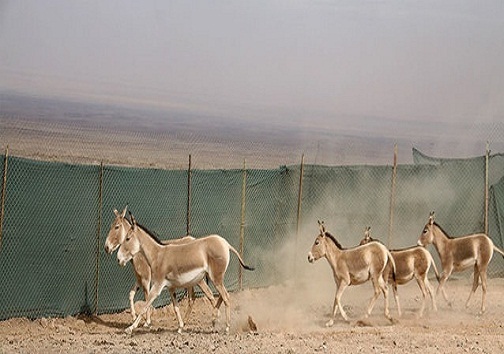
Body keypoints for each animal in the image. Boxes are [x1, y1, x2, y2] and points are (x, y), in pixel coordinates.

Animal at [116, 214, 254, 334]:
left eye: (127, 238)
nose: (118, 259)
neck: (158, 255)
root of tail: (225, 243)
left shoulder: (157, 286)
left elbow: (146, 305)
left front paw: (130, 328)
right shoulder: (171, 287)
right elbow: (176, 308)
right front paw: (180, 327)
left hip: (215, 278)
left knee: (226, 297)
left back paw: (226, 327)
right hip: (216, 278)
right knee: (221, 295)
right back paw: (215, 318)